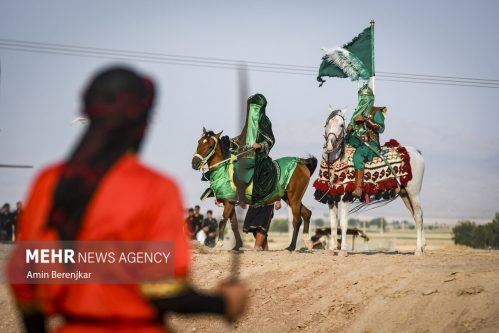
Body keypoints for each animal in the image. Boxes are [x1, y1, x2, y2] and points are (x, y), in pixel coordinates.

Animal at [324, 110, 426, 255]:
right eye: (327, 123)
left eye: (341, 125)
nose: (330, 145)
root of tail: (416, 152)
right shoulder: (331, 197)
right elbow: (333, 224)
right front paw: (331, 250)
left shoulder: (345, 196)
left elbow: (343, 223)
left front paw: (343, 250)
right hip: (404, 193)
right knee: (416, 216)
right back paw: (422, 246)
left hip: (414, 192)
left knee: (418, 215)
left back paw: (418, 250)